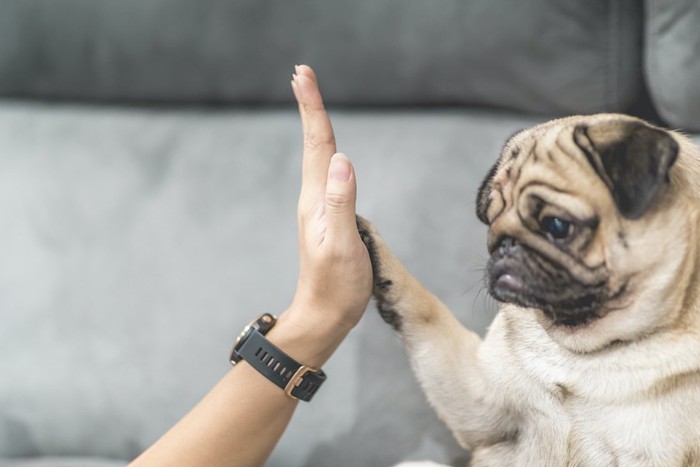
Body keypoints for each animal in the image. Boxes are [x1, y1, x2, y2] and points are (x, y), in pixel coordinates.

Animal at [358, 114, 700, 467]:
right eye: (491, 219)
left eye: (557, 226)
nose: (504, 244)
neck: (581, 352)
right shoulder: (481, 398)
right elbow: (427, 311)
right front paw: (371, 247)